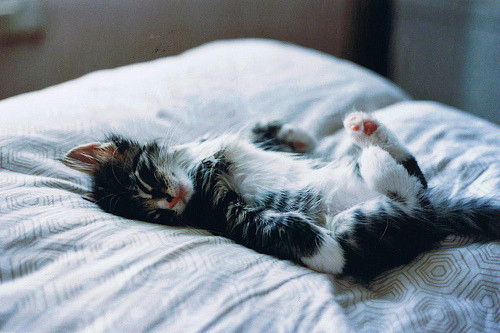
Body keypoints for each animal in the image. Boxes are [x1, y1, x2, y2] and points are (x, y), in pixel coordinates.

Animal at [63, 113, 500, 282]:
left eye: (146, 178)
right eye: (155, 216)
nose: (169, 202)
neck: (194, 166)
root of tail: (438, 219)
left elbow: (262, 132)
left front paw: (300, 135)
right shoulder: (227, 212)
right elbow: (273, 224)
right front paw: (326, 253)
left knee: (415, 176)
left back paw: (367, 132)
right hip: (382, 227)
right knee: (399, 204)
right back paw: (374, 161)